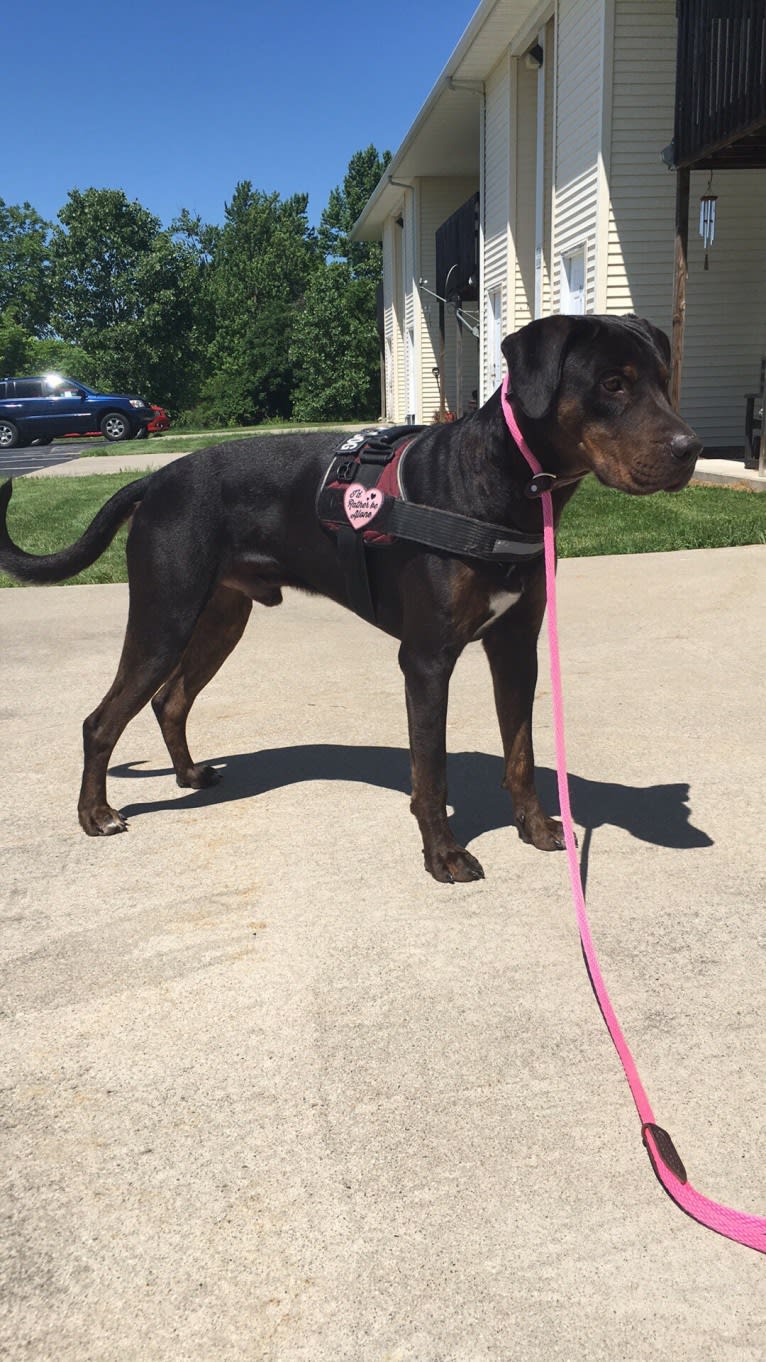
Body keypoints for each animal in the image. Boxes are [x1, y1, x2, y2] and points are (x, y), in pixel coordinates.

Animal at [0, 315, 697, 882]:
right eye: (611, 384)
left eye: (664, 380)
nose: (690, 450)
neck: (495, 485)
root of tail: (155, 479)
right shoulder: (426, 659)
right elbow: (430, 771)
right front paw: (444, 856)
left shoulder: (515, 645)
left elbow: (521, 752)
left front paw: (535, 828)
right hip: (165, 614)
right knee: (102, 720)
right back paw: (96, 814)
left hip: (222, 617)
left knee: (170, 701)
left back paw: (190, 776)